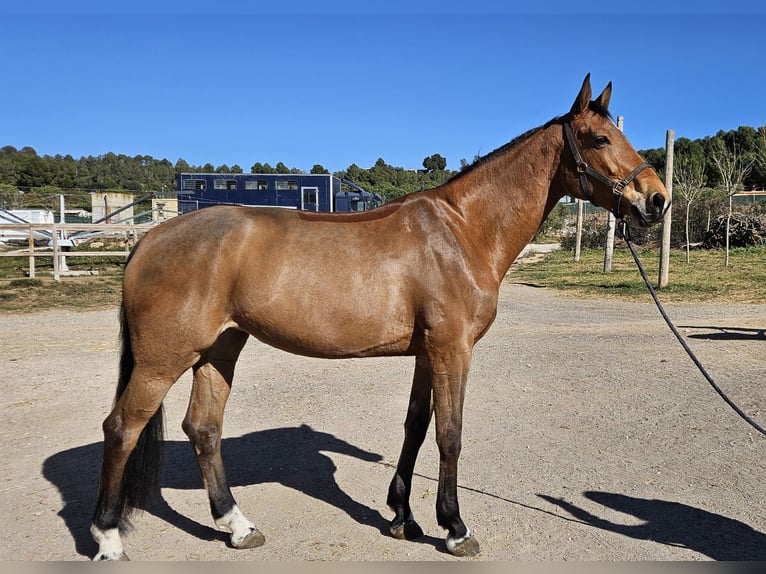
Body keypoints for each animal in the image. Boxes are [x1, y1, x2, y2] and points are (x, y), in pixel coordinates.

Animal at [90, 74, 669, 560]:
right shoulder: (452, 349)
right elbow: (450, 433)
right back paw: (109, 538)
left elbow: (415, 426)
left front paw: (402, 518)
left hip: (219, 348)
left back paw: (236, 525)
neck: (462, 232)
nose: (657, 200)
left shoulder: (427, 353)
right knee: (121, 428)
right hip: (163, 358)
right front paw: (454, 528)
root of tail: (148, 239)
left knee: (203, 429)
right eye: (599, 140)